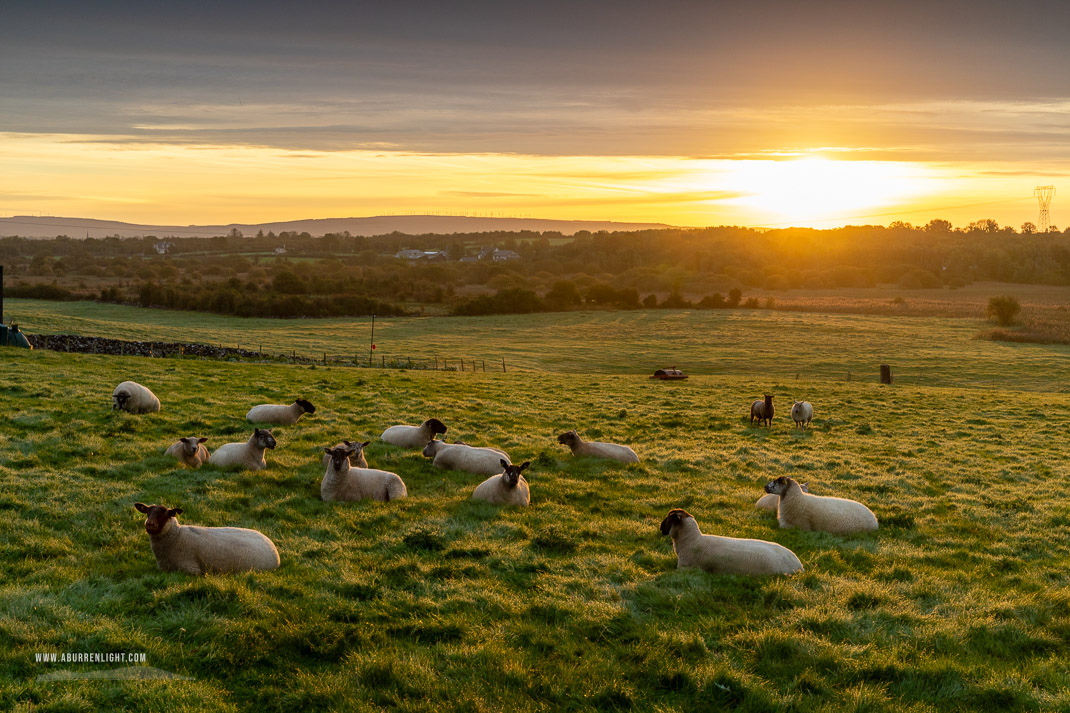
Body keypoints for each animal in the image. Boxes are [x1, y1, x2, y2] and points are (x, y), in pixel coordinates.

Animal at [132, 498, 280, 573]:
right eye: (148, 512)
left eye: (165, 514)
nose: (149, 524)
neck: (177, 536)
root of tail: (274, 549)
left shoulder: (190, 568)